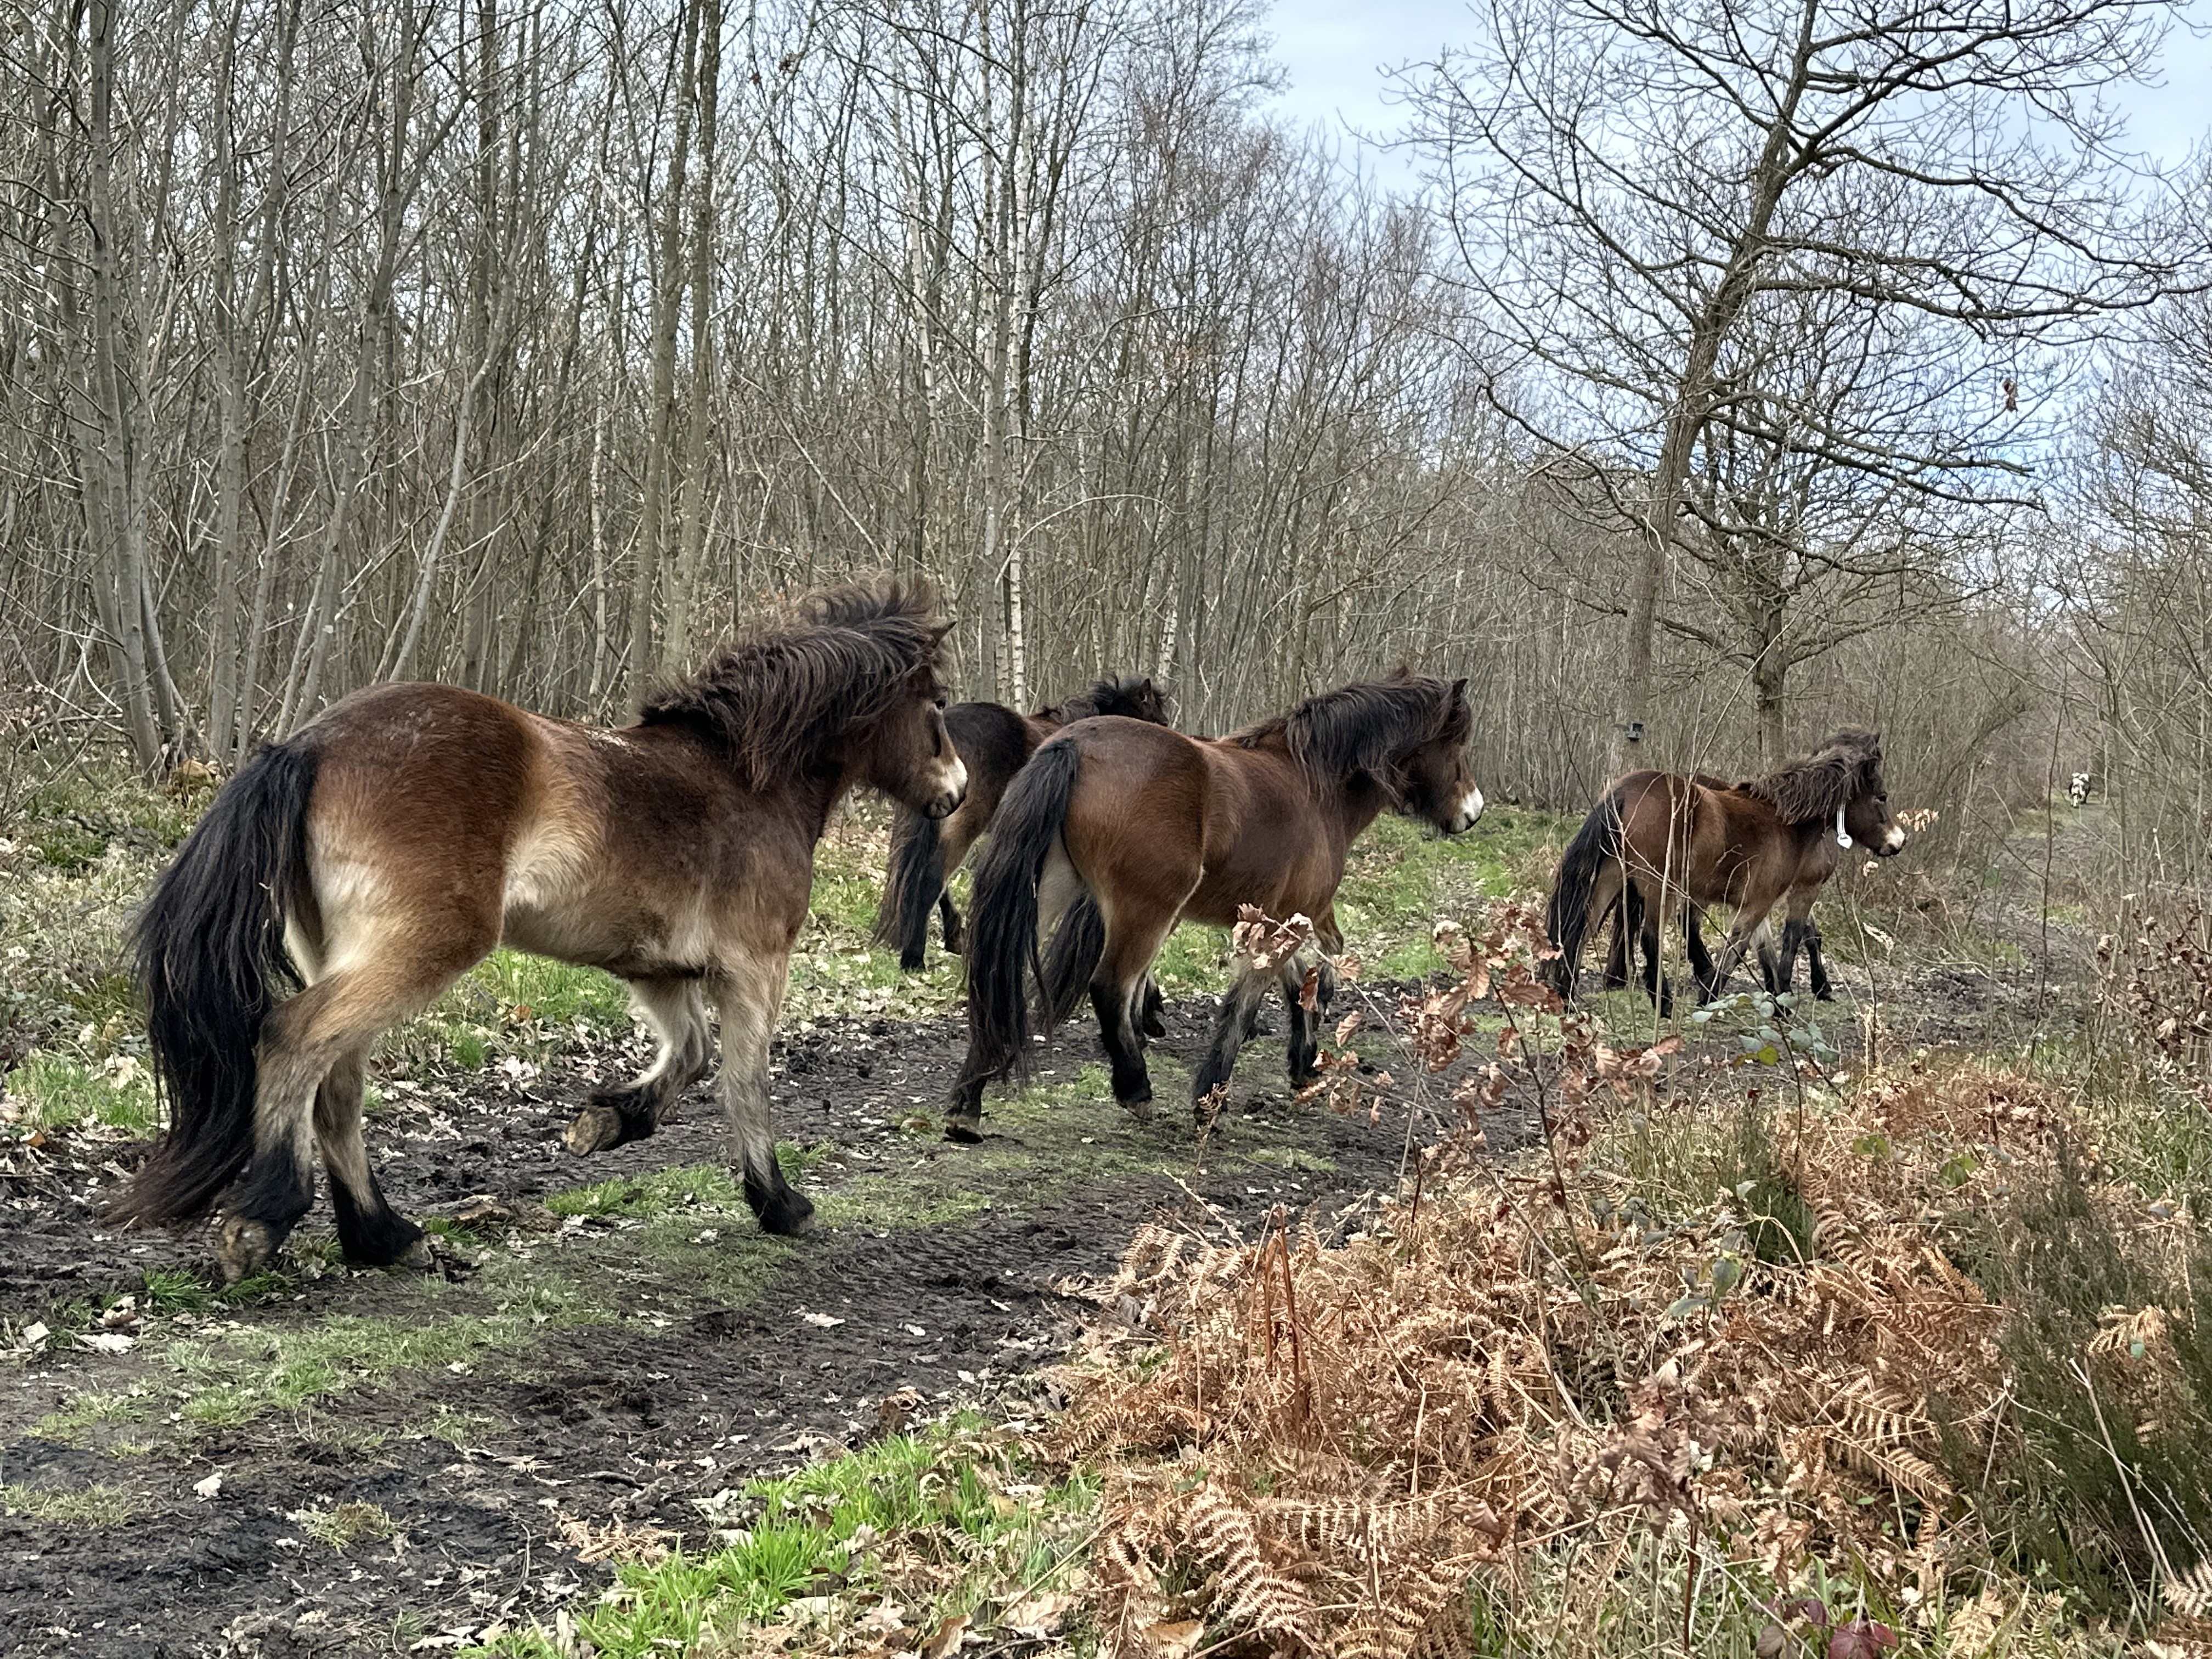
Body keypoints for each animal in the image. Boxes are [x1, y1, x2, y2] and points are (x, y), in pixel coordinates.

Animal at [110, 584, 960, 1283]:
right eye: (937, 703)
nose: (955, 791)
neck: (747, 779)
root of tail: (308, 745)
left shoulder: (660, 972)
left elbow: (691, 1056)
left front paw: (607, 1122)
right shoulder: (754, 969)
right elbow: (745, 1083)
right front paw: (781, 1203)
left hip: (343, 952)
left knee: (337, 1083)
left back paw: (384, 1238)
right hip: (420, 947)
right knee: (295, 1040)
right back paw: (265, 1222)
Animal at [942, 668, 1477, 1141]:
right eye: (1457, 744)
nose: (1473, 813)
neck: (1316, 785)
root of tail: (1074, 745)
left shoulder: (1281, 920)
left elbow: (1299, 983)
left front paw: (1303, 1064)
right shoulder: (1288, 922)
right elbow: (1249, 1004)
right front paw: (1210, 1100)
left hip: (1052, 891)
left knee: (999, 973)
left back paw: (967, 1104)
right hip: (1146, 912)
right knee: (1111, 987)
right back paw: (1135, 1089)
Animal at [1539, 730, 1902, 1013]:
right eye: (1882, 796)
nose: (1898, 841)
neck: (1784, 822)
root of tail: (1623, 792)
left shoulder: (1755, 902)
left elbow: (1764, 948)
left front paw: (1775, 993)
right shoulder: (1775, 898)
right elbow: (1759, 944)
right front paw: (1721, 997)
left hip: (1613, 878)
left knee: (1582, 928)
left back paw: (1569, 996)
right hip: (1658, 886)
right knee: (1650, 936)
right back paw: (1664, 1003)